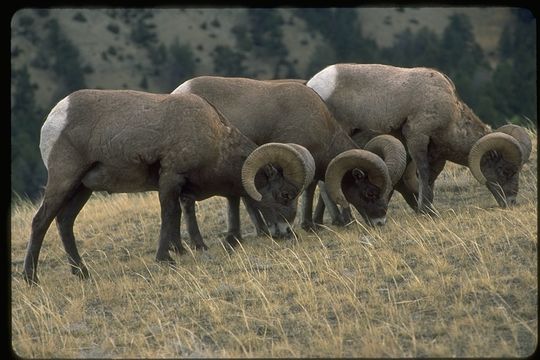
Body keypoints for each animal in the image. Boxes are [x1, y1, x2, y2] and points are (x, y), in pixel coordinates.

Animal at [23, 90, 314, 284]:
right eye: (285, 194)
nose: (287, 233)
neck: (214, 138)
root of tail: (55, 118)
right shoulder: (171, 178)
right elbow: (169, 215)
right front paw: (166, 258)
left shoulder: (178, 186)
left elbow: (175, 217)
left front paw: (180, 251)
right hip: (64, 180)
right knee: (41, 221)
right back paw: (31, 278)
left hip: (82, 189)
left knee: (64, 222)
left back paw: (81, 272)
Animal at [308, 64, 532, 214]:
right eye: (506, 170)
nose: (511, 201)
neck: (450, 113)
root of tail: (313, 84)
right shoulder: (417, 137)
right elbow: (423, 173)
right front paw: (426, 211)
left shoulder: (435, 153)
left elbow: (429, 178)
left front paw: (425, 208)